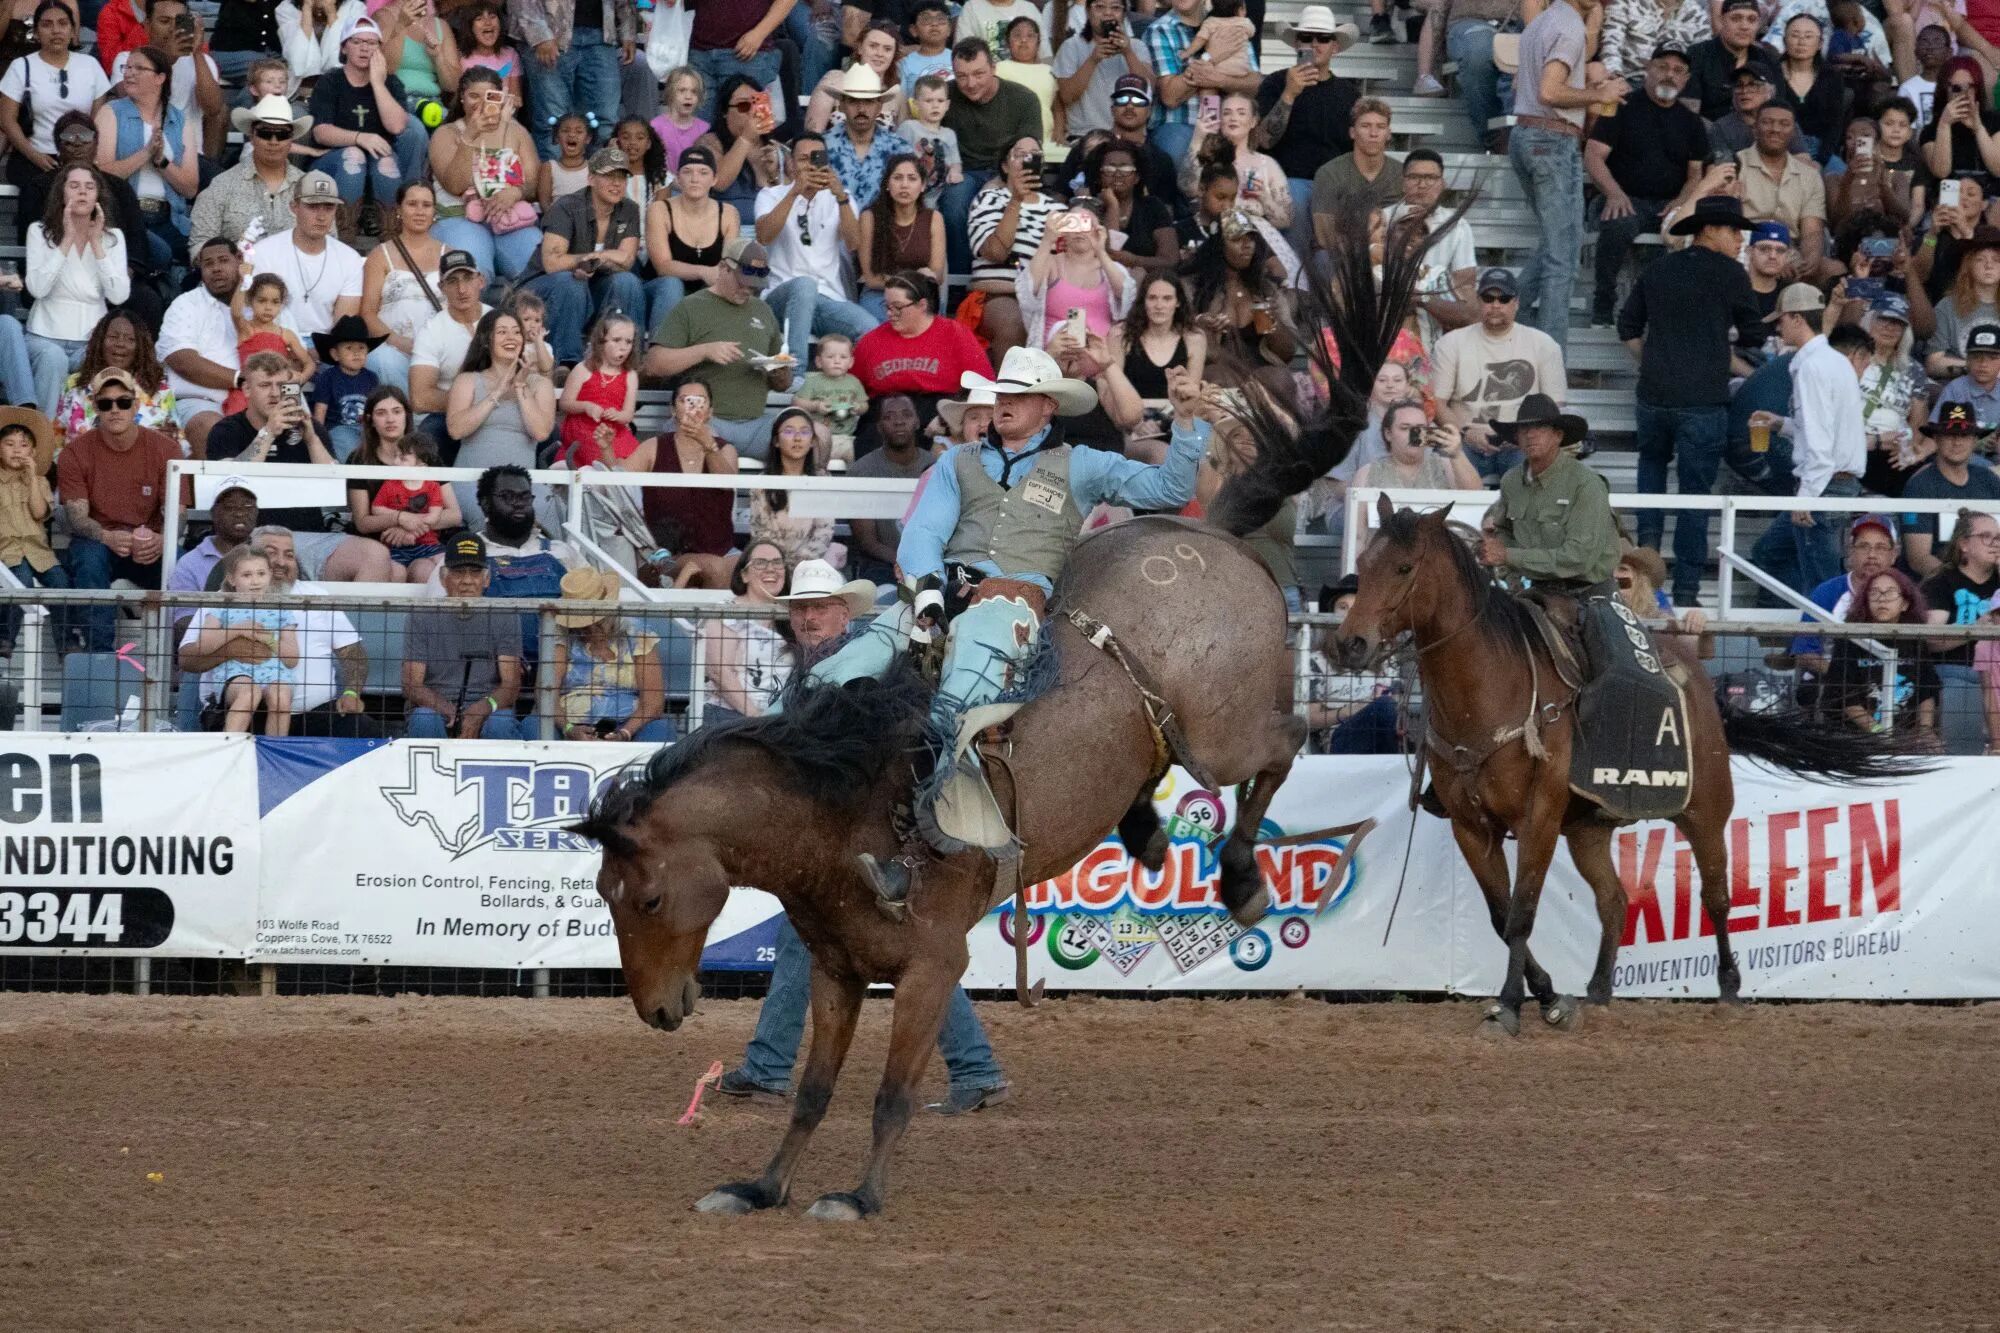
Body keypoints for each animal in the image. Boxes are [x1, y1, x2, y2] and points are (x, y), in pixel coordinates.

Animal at [1333, 499, 1923, 1037]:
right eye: (1363, 563)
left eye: (1404, 567)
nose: (1351, 642)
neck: (1490, 688)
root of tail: (1702, 683)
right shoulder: (1470, 825)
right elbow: (1502, 917)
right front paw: (1551, 998)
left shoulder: (1538, 816)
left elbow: (1522, 910)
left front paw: (1509, 1008)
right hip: (1587, 829)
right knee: (1614, 900)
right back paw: (1597, 991)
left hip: (1705, 810)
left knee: (1716, 896)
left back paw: (1729, 989)